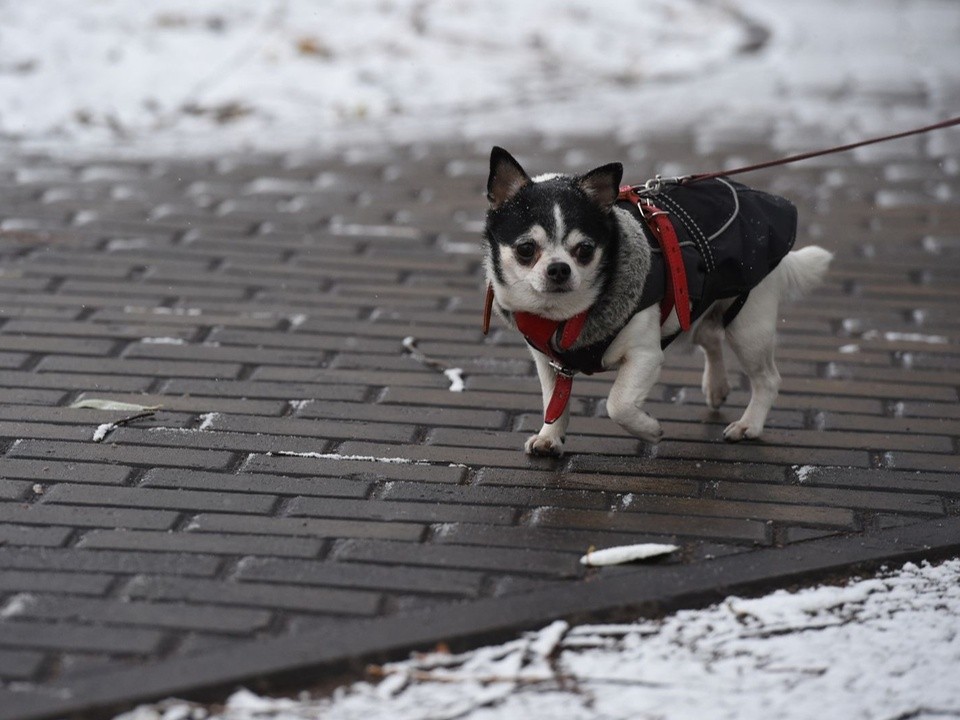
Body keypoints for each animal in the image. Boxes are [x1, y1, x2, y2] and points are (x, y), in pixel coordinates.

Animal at [480, 146, 832, 456]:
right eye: (526, 249)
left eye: (585, 249)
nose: (558, 269)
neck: (567, 318)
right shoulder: (549, 362)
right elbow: (555, 402)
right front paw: (550, 437)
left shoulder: (645, 356)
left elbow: (618, 404)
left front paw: (649, 430)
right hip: (700, 305)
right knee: (709, 336)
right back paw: (716, 386)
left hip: (748, 327)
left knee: (767, 379)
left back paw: (749, 425)